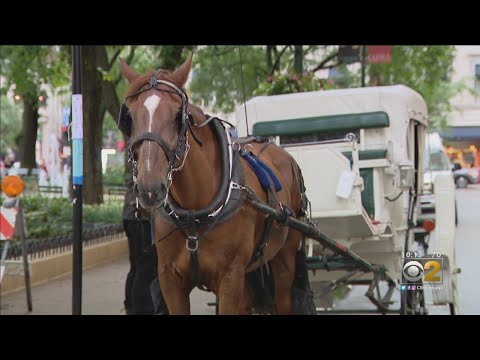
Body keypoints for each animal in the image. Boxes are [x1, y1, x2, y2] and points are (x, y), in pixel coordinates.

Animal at [120, 53, 308, 316]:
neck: (194, 213)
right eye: (129, 117)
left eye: (178, 116)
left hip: (284, 258)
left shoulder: (230, 278)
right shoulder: (170, 281)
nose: (150, 187)